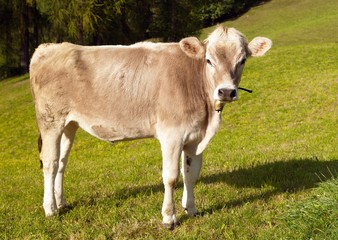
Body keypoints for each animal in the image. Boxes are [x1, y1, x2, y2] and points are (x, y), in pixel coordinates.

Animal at [29, 25, 272, 229]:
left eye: (242, 60)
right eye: (209, 60)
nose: (226, 92)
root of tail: (50, 47)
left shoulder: (195, 137)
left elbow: (191, 174)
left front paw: (191, 209)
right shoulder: (172, 135)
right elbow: (171, 177)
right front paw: (169, 217)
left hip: (69, 124)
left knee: (61, 163)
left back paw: (60, 202)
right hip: (50, 121)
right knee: (50, 163)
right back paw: (50, 209)